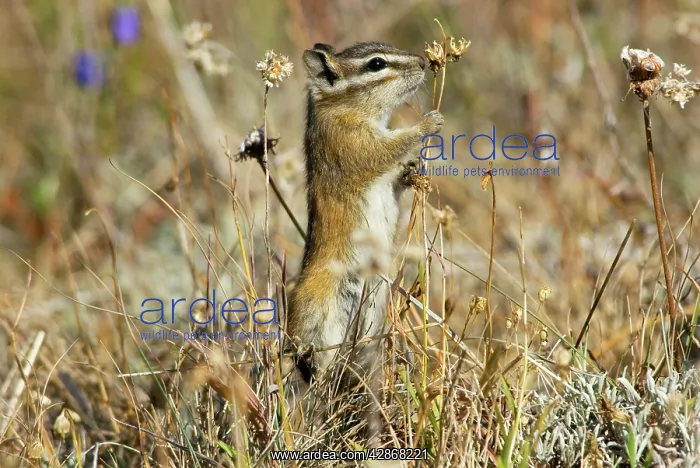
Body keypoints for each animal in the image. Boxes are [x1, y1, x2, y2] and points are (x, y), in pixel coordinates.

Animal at [284, 41, 443, 388]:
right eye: (376, 64)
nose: (422, 62)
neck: (343, 108)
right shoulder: (352, 143)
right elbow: (385, 150)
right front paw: (428, 123)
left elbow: (395, 178)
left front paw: (413, 173)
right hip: (322, 323)